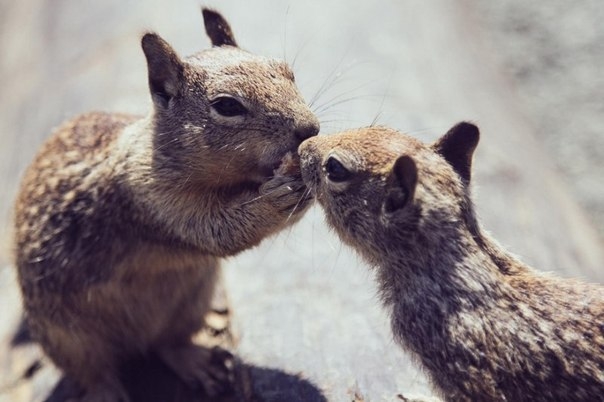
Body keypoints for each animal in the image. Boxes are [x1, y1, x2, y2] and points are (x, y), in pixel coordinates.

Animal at [11, 7, 318, 402]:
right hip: (70, 339)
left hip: (191, 302)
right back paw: (107, 391)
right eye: (227, 106)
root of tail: (135, 341)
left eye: (286, 71)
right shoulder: (152, 200)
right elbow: (220, 230)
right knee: (95, 373)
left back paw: (197, 363)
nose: (310, 130)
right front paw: (282, 194)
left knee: (167, 344)